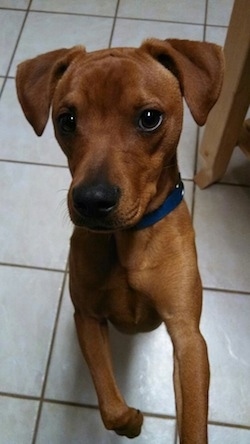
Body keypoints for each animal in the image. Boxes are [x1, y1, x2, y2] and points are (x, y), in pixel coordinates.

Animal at [16, 40, 223, 442]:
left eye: (149, 118)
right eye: (66, 120)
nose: (92, 201)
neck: (127, 241)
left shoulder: (188, 336)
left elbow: (193, 419)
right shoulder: (87, 318)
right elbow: (110, 407)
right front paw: (132, 422)